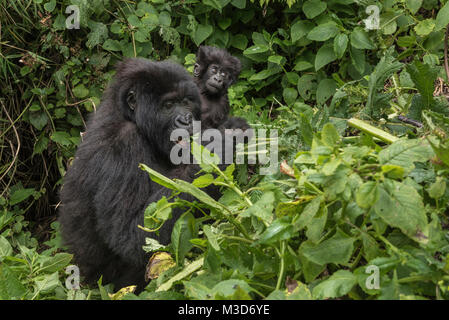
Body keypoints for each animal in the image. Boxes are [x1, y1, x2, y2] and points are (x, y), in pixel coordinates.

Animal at [57, 57, 206, 290]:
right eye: (169, 105)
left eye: (186, 101)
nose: (186, 120)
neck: (130, 118)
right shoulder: (123, 145)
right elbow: (132, 237)